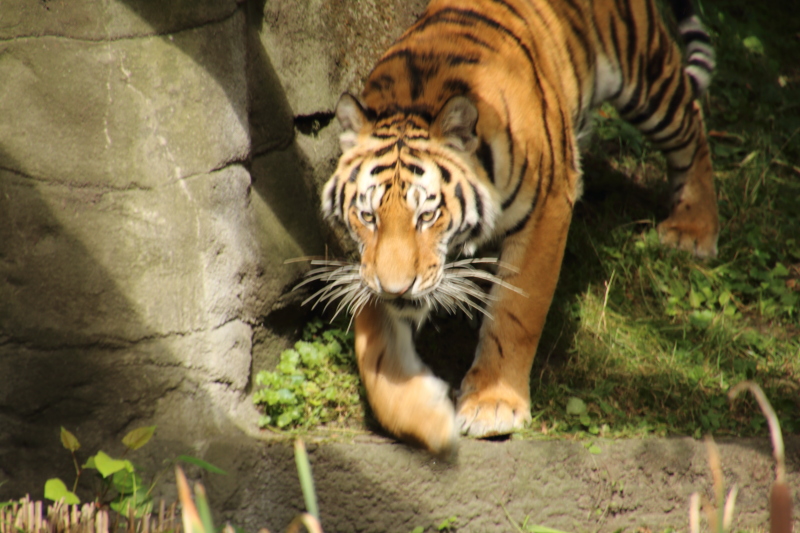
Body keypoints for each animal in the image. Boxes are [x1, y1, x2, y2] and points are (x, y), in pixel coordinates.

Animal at [312, 0, 720, 454]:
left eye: (427, 216)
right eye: (368, 217)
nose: (396, 290)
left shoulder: (548, 207)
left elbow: (515, 313)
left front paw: (493, 404)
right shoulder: (369, 266)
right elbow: (375, 347)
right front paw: (421, 414)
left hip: (644, 70)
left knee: (691, 121)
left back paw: (693, 228)